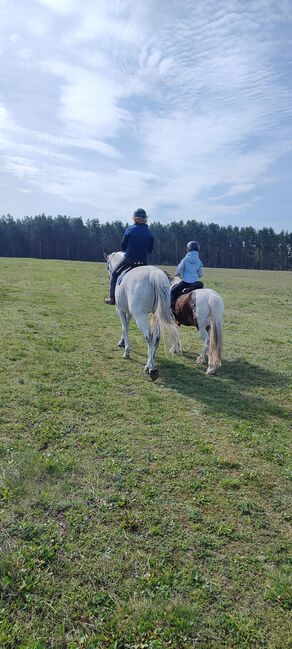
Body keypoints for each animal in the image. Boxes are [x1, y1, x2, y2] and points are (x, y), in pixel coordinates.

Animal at [105, 249, 182, 380]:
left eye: (107, 267)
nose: (110, 274)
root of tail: (155, 275)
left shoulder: (120, 310)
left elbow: (124, 328)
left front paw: (126, 351)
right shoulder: (129, 312)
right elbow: (126, 325)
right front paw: (122, 342)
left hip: (140, 316)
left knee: (149, 337)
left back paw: (151, 368)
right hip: (156, 315)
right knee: (156, 338)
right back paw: (150, 363)